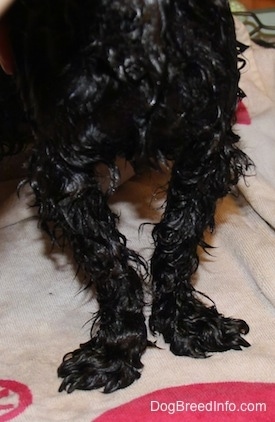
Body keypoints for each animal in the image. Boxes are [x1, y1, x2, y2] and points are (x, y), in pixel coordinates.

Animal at [0, 0, 252, 396]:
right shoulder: (64, 165)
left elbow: (179, 241)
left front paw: (185, 322)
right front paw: (115, 350)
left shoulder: (206, 143)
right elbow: (109, 263)